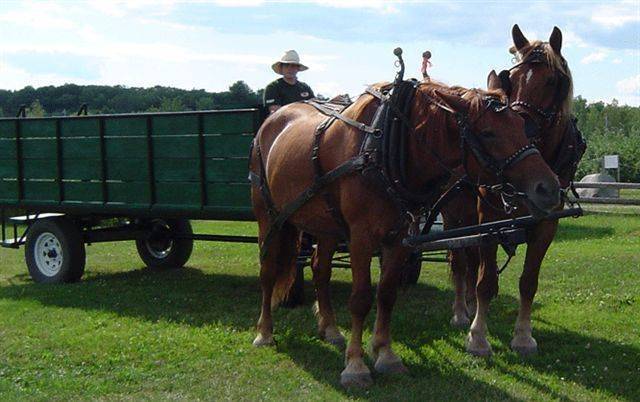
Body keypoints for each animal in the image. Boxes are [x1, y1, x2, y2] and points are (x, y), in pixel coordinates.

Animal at [249, 74, 561, 387]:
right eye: (488, 133)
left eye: (521, 125)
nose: (549, 188)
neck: (381, 145)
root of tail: (271, 121)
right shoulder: (361, 239)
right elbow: (360, 299)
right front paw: (356, 365)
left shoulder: (399, 238)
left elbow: (387, 294)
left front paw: (386, 354)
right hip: (269, 216)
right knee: (269, 271)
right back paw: (264, 332)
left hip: (325, 226)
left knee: (319, 269)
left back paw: (330, 329)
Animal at [445, 25, 586, 357]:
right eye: (514, 76)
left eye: (552, 81)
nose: (524, 127)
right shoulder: (488, 219)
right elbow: (485, 281)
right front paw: (478, 337)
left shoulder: (547, 223)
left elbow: (528, 282)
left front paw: (523, 336)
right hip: (453, 215)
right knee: (460, 263)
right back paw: (461, 311)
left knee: (471, 263)